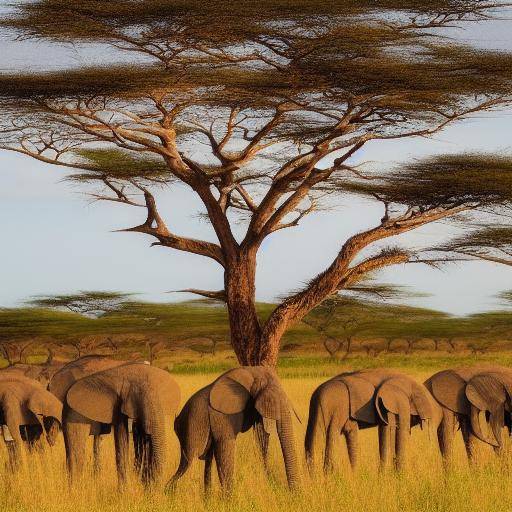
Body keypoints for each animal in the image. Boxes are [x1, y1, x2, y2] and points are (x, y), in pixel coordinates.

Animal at [166, 366, 300, 494]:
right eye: (270, 400)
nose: (291, 492)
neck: (252, 371)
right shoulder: (221, 414)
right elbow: (225, 446)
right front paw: (229, 498)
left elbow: (260, 437)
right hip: (189, 429)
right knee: (188, 462)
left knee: (205, 462)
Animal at [304, 368, 440, 472]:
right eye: (419, 397)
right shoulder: (399, 404)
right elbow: (399, 431)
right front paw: (399, 476)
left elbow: (384, 429)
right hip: (337, 408)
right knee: (335, 434)